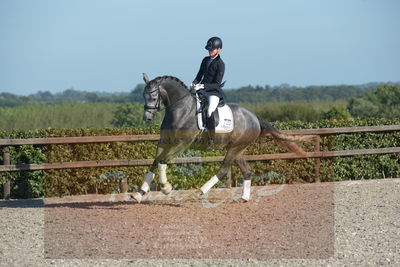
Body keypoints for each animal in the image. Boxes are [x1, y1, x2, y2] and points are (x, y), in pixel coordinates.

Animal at [131, 74, 312, 203]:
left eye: (153, 97)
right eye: (143, 96)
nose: (147, 118)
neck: (180, 109)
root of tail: (254, 117)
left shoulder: (182, 143)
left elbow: (163, 161)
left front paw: (166, 188)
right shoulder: (164, 142)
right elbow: (155, 161)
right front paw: (139, 194)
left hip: (235, 148)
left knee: (224, 169)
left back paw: (200, 192)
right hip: (237, 149)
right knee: (247, 170)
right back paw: (244, 198)